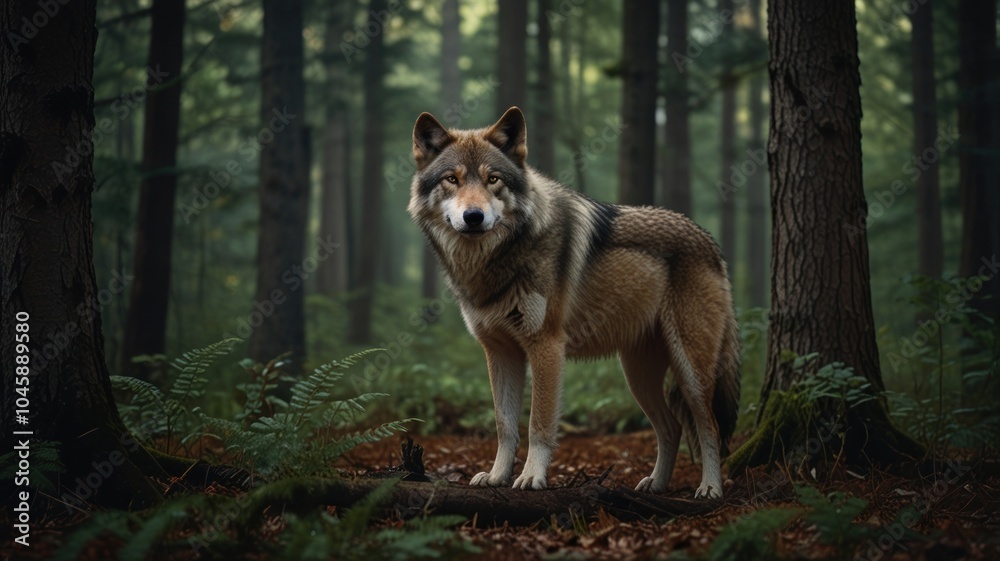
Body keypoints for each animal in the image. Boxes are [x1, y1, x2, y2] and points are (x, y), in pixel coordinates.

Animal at [407, 107, 740, 498]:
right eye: (452, 179)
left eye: (493, 179)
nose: (474, 217)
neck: (494, 261)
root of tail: (712, 243)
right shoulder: (500, 352)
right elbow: (505, 425)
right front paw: (497, 476)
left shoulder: (547, 346)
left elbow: (538, 423)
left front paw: (532, 478)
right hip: (637, 375)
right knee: (671, 428)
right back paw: (655, 484)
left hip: (690, 370)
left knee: (711, 428)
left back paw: (710, 487)